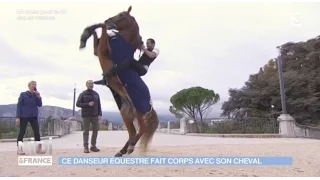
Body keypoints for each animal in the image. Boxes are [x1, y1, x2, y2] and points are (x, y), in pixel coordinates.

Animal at [80, 6, 160, 157]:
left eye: (122, 15)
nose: (109, 20)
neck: (123, 40)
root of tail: (150, 105)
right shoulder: (98, 51)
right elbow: (98, 29)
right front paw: (86, 34)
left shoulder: (102, 50)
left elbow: (102, 27)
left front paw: (86, 34)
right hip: (126, 113)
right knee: (132, 132)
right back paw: (122, 151)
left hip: (138, 112)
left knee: (142, 129)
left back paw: (131, 147)